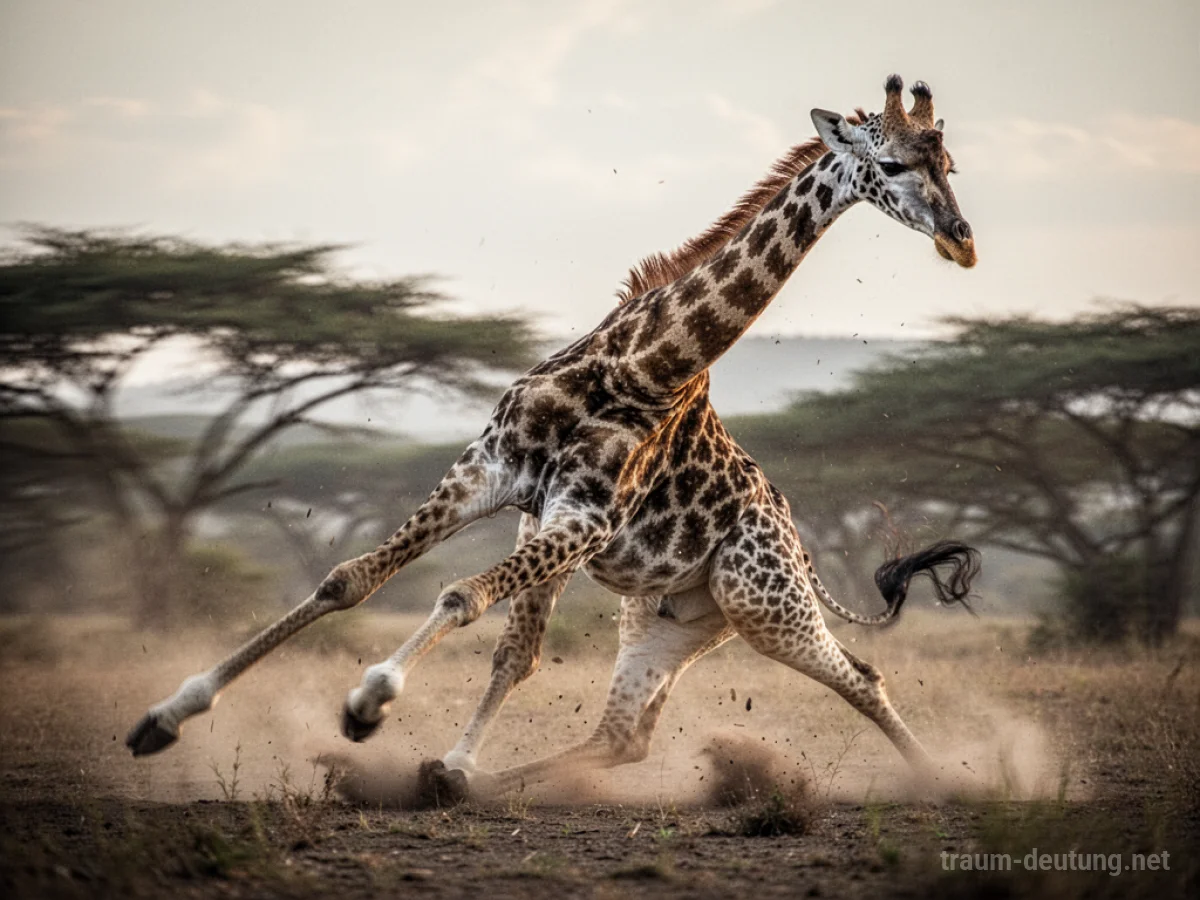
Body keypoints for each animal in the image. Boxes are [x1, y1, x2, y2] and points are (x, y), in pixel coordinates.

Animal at [127, 75, 981, 801]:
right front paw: (164, 717)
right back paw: (452, 779)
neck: (646, 362)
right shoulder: (490, 472)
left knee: (861, 678)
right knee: (615, 726)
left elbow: (461, 594)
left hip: (762, 601)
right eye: (893, 162)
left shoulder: (586, 517)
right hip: (674, 617)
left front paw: (370, 700)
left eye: (949, 163)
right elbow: (351, 581)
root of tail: (798, 541)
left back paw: (942, 783)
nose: (962, 240)